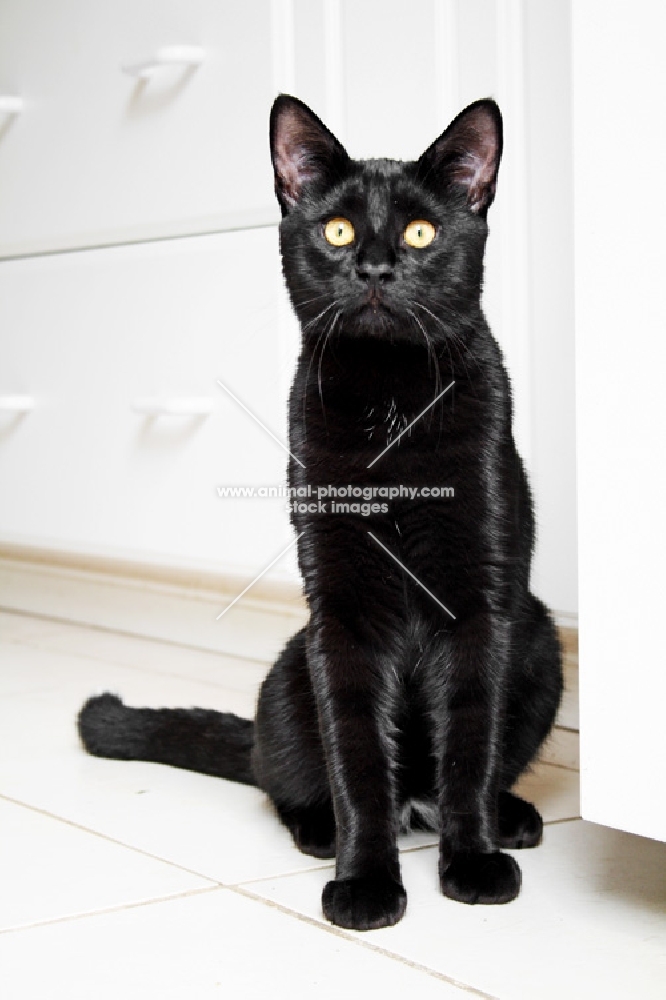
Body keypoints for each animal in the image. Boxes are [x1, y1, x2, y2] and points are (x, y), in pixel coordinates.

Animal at [78, 97, 560, 932]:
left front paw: (471, 860)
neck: (389, 397)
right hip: (289, 670)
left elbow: (470, 744)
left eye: (420, 233)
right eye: (336, 230)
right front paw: (365, 881)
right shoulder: (340, 613)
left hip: (539, 640)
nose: (373, 268)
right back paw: (319, 828)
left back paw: (511, 817)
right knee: (280, 775)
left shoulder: (481, 606)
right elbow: (356, 755)